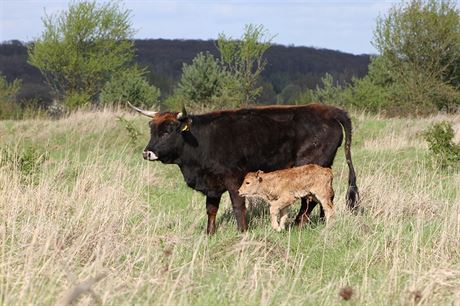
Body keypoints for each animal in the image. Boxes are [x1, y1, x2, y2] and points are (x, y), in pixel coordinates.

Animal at [129, 102, 360, 234]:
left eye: (168, 130)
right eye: (152, 128)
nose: (147, 153)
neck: (202, 140)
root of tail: (330, 111)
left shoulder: (234, 179)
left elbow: (238, 206)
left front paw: (242, 232)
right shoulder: (212, 183)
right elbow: (211, 209)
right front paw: (209, 233)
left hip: (309, 168)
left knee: (310, 199)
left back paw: (298, 225)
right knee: (323, 198)